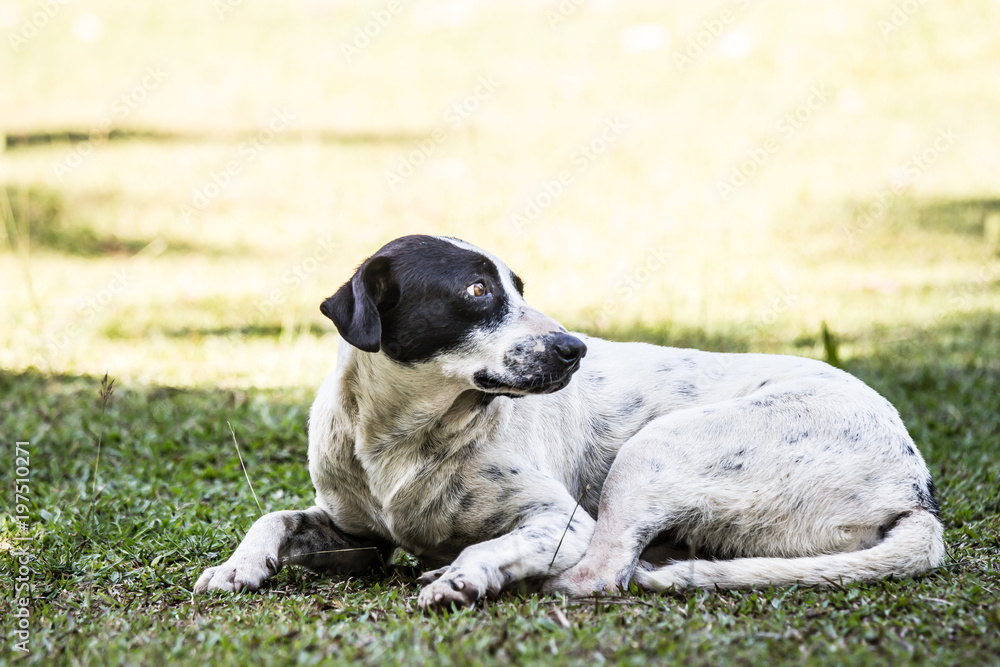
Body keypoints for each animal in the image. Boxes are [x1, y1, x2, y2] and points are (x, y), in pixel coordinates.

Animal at [195, 236, 944, 612]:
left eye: (520, 286)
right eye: (477, 290)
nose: (573, 348)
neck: (404, 436)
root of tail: (918, 488)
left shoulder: (561, 522)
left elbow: (495, 545)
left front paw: (467, 576)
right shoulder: (359, 534)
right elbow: (274, 518)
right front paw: (237, 567)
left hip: (653, 451)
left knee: (604, 572)